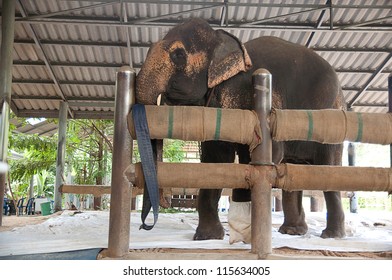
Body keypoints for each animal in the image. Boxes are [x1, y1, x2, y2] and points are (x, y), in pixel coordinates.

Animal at [136, 17, 346, 241]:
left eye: (178, 55)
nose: (145, 226)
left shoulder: (254, 96)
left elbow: (266, 155)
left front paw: (244, 231)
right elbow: (216, 158)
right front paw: (208, 237)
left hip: (332, 117)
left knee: (329, 168)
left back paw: (332, 235)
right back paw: (293, 232)